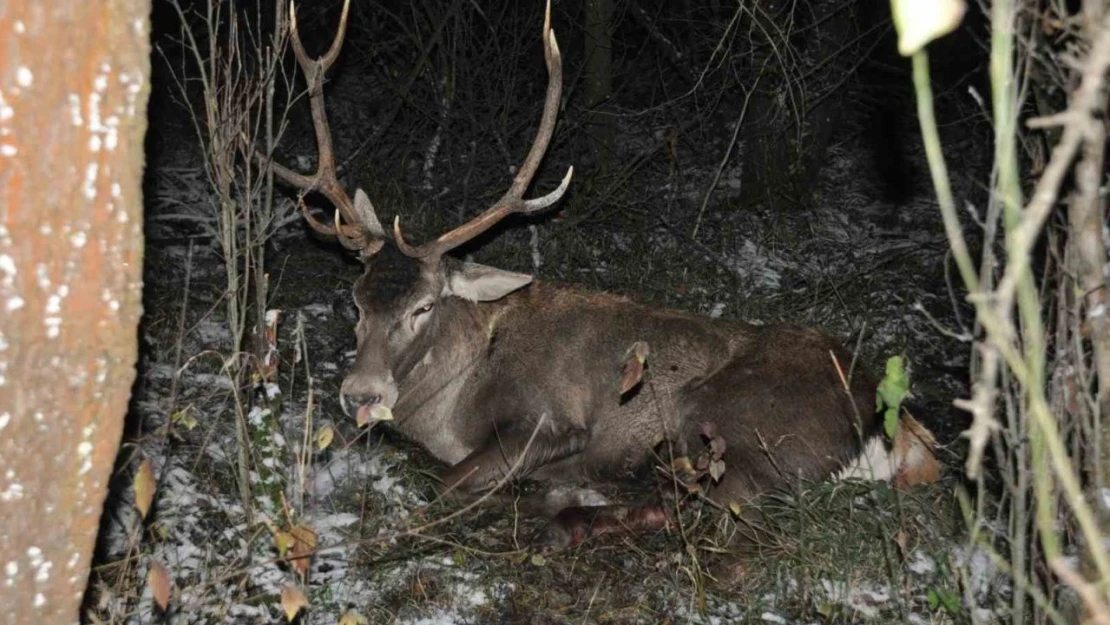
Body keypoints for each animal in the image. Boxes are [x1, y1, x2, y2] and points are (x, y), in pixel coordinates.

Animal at [270, 2, 936, 552]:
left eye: (424, 306)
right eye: (356, 300)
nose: (361, 395)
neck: (451, 398)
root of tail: (888, 420)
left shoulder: (549, 420)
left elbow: (449, 484)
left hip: (732, 421)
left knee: (715, 504)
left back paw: (582, 513)